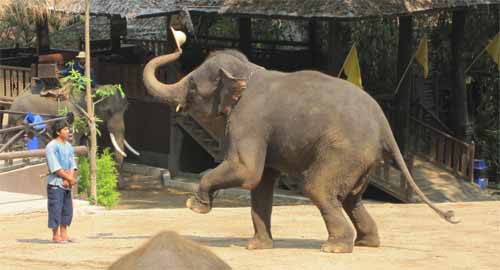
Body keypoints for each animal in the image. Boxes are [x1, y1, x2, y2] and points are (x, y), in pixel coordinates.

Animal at [143, 29, 458, 253]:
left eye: (192, 88)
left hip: (345, 151)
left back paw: (334, 248)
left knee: (318, 187)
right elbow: (261, 181)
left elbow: (247, 171)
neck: (247, 70)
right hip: (364, 161)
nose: (178, 39)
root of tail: (385, 127)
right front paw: (257, 247)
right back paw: (366, 243)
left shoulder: (250, 120)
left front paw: (194, 206)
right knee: (352, 198)